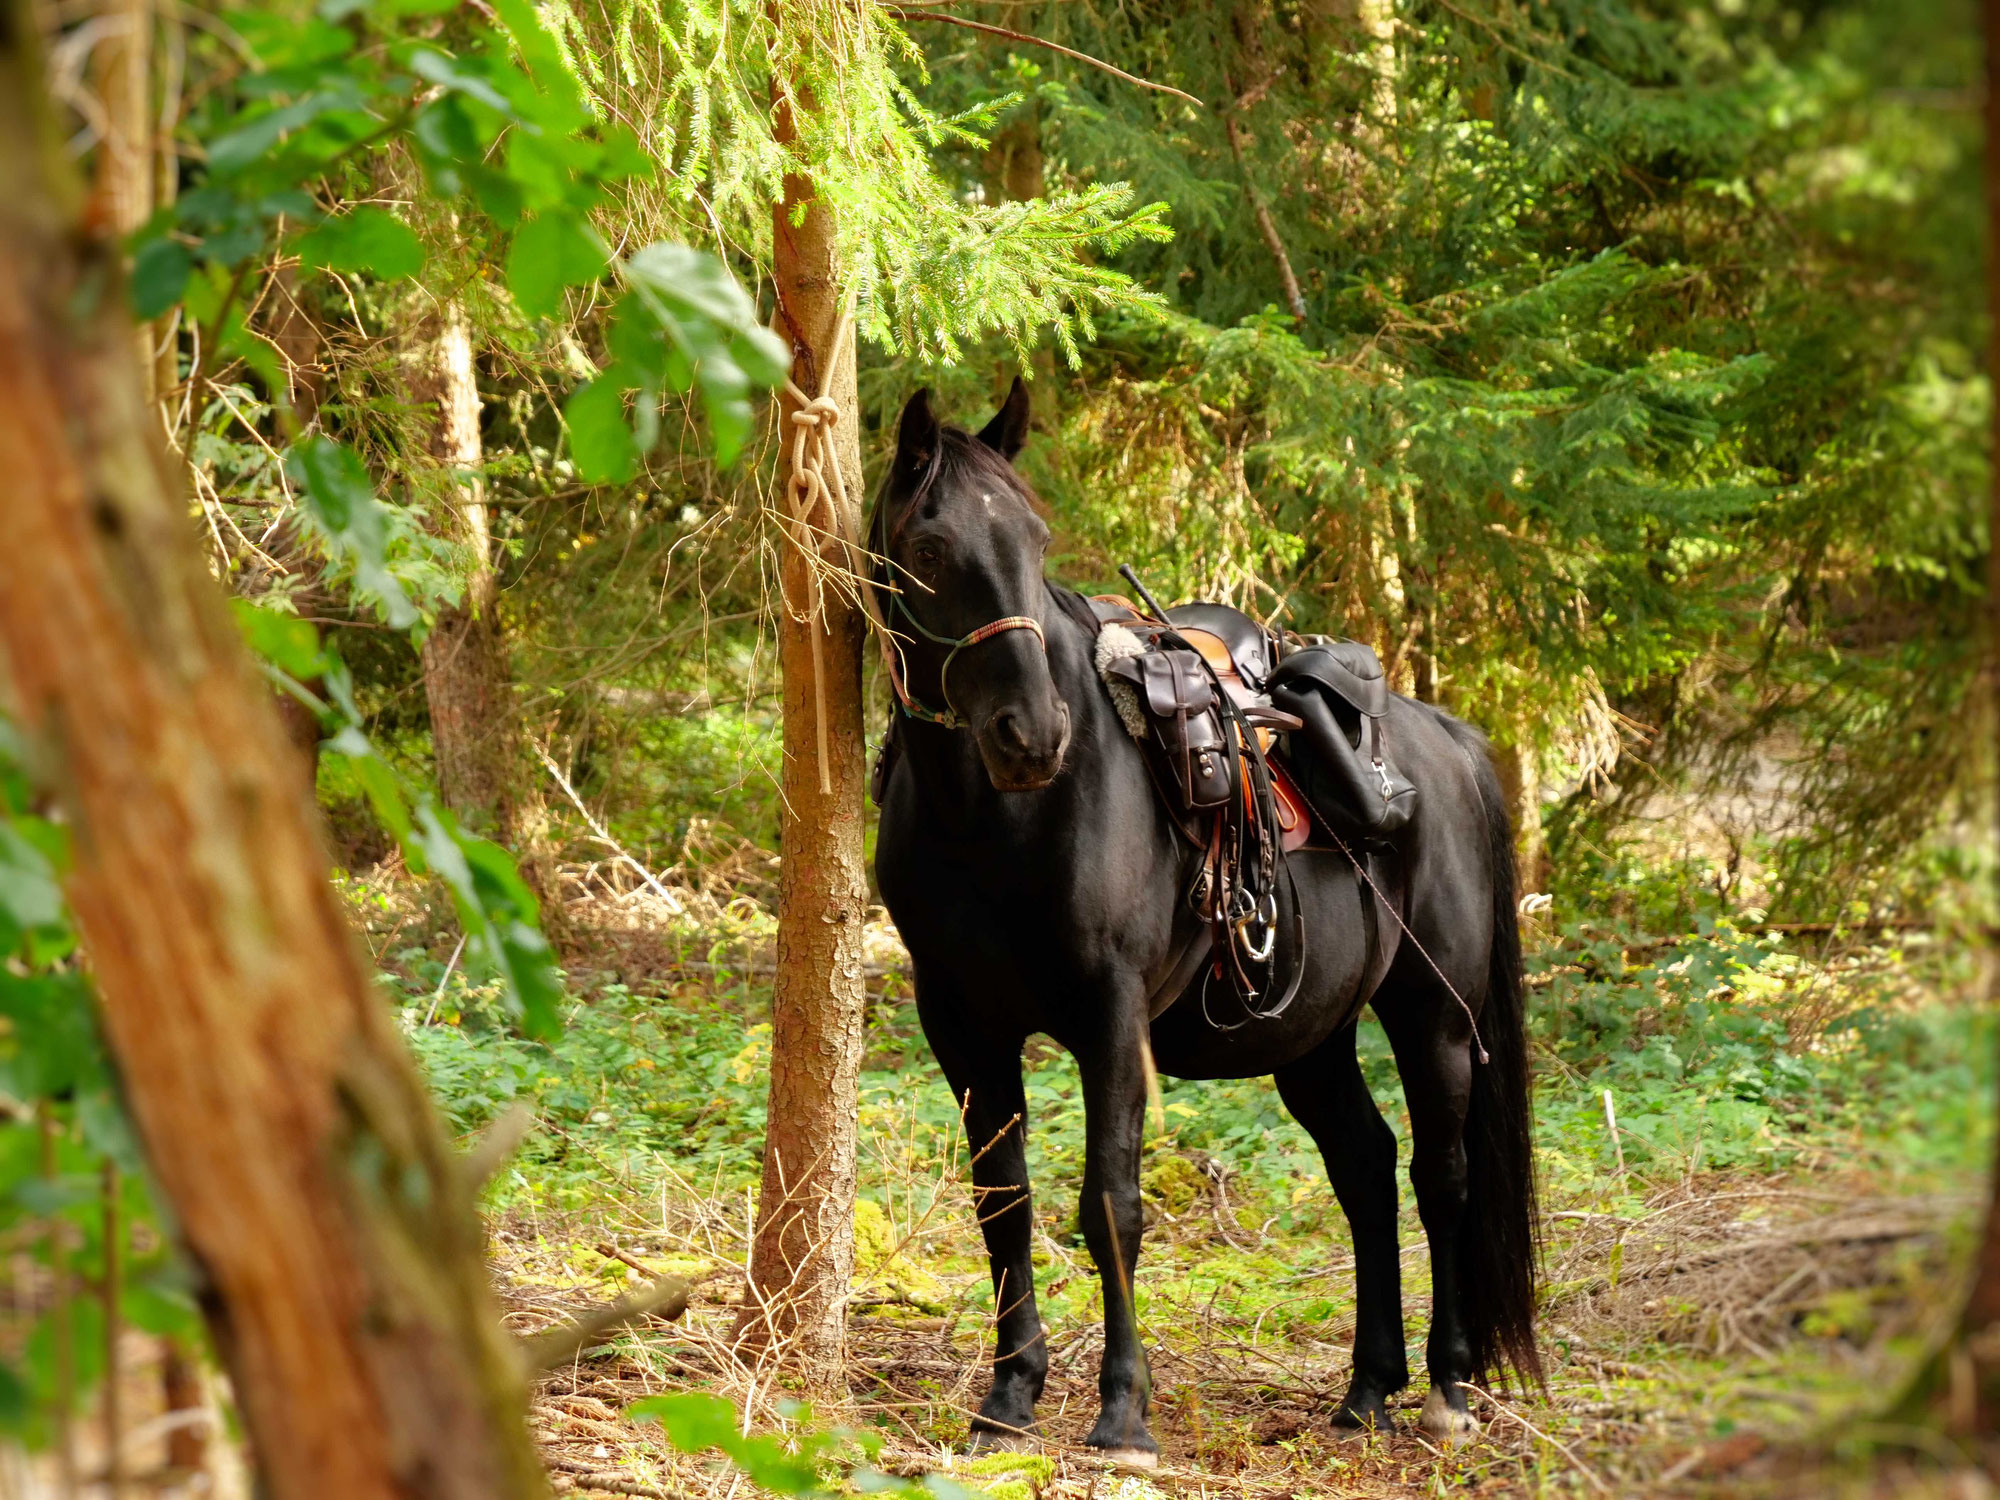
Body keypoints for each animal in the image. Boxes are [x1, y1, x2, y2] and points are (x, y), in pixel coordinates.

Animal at [868, 378, 1536, 1472]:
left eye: (1038, 540)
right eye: (926, 546)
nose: (1032, 736)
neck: (1002, 823)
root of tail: (1445, 741)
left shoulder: (1111, 1020)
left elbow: (1109, 1202)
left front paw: (1121, 1418)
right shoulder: (961, 1027)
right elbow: (1002, 1201)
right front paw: (1006, 1400)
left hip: (1434, 1018)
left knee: (1443, 1177)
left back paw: (1447, 1389)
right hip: (1309, 1034)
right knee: (1365, 1168)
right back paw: (1365, 1391)